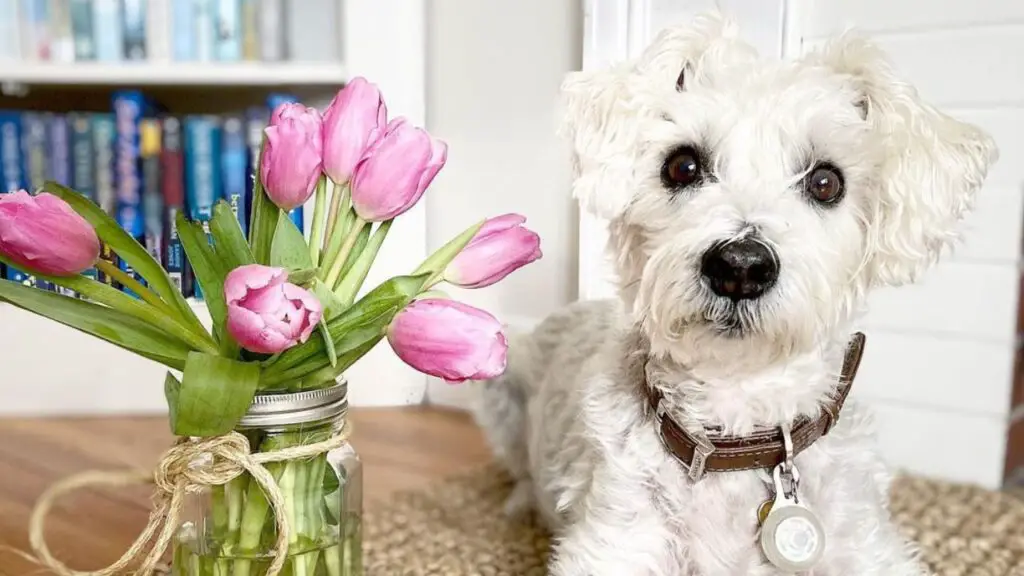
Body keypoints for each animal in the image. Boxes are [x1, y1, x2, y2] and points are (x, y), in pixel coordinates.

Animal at [475, 10, 995, 573]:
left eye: (827, 182)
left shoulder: (869, 549)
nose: (740, 268)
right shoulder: (618, 544)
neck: (740, 423)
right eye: (682, 165)